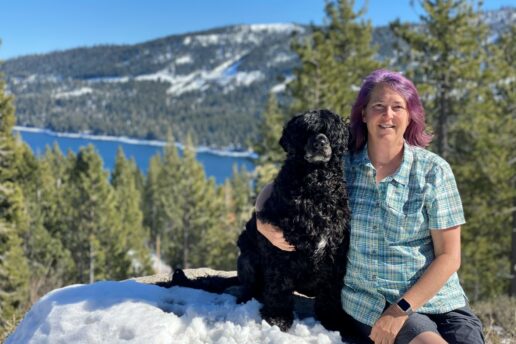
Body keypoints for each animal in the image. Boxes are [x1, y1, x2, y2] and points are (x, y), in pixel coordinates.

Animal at [237, 109, 350, 330]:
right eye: (306, 131)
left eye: (329, 131)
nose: (320, 142)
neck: (316, 188)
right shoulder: (278, 248)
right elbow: (278, 287)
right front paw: (277, 317)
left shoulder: (335, 251)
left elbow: (331, 291)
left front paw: (331, 318)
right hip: (247, 256)